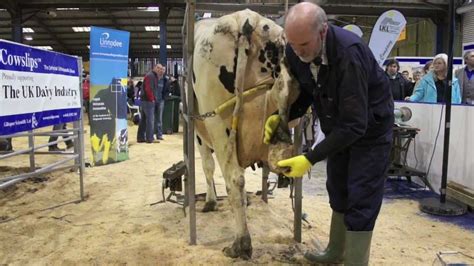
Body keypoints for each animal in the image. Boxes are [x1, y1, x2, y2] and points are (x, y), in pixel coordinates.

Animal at [191, 9, 298, 258]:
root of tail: (246, 19)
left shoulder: (199, 134)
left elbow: (207, 167)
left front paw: (210, 202)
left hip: (218, 123)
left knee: (235, 179)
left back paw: (240, 244)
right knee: (282, 90)